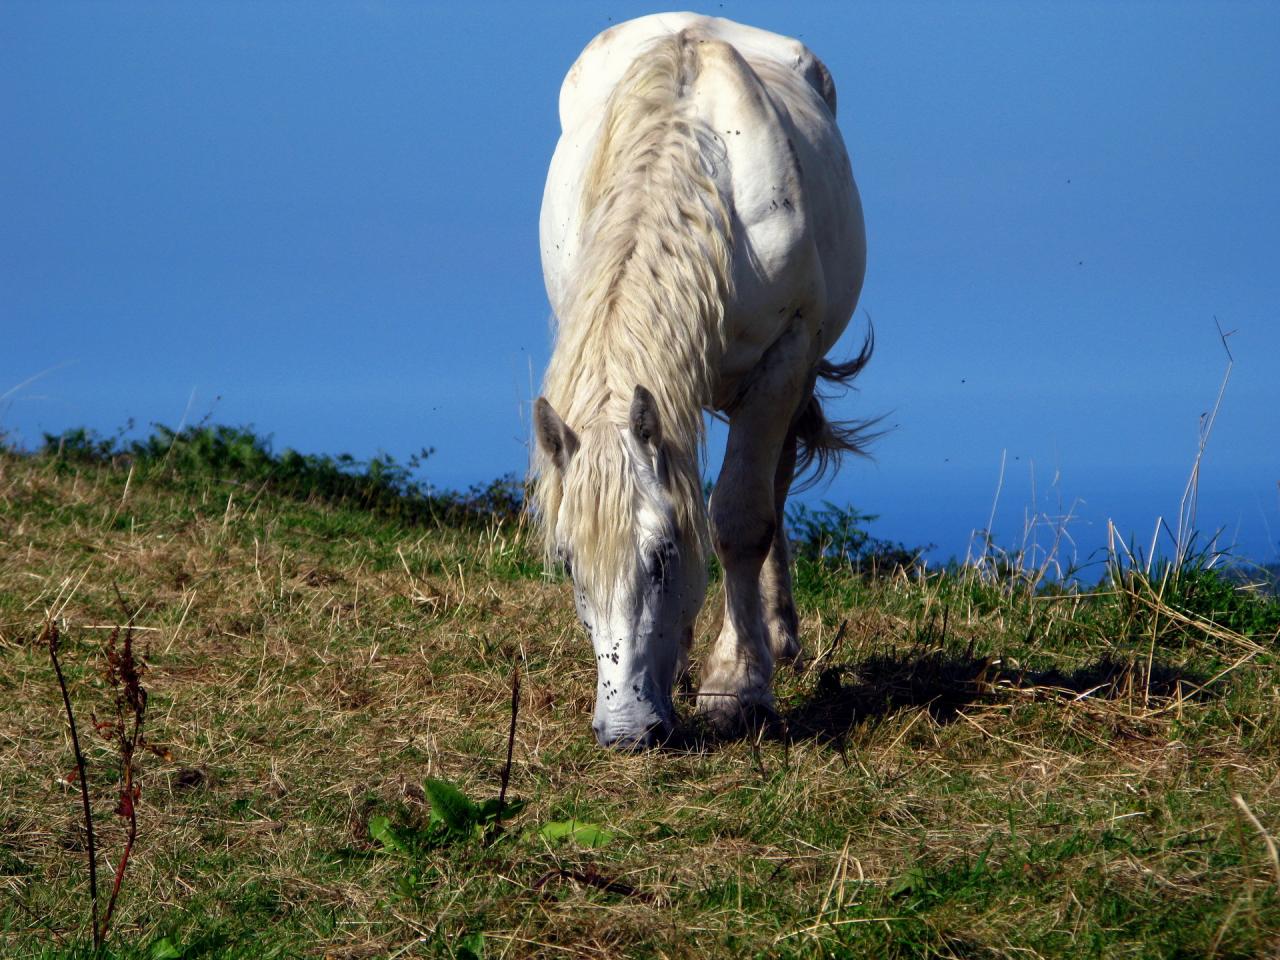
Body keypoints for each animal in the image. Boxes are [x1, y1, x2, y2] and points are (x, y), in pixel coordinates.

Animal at [529, 15, 870, 752]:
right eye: (569, 563)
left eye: (662, 557)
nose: (626, 730)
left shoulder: (784, 358)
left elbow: (741, 520)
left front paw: (736, 687)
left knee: (773, 486)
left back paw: (774, 639)